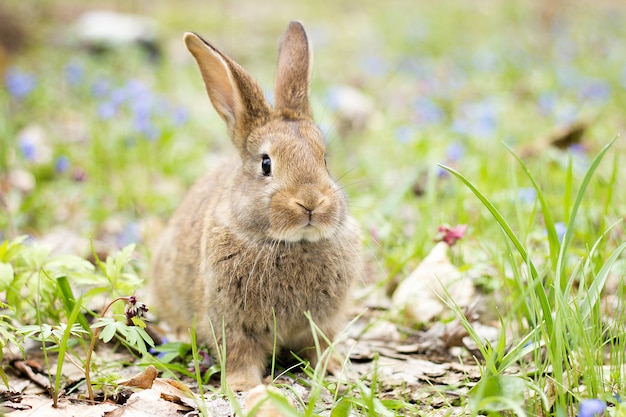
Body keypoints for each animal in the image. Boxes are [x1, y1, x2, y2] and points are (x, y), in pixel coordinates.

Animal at [150, 21, 360, 392]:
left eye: (324, 159)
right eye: (266, 164)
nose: (311, 202)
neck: (291, 244)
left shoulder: (324, 323)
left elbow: (321, 345)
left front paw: (333, 369)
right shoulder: (232, 324)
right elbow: (240, 353)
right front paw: (244, 386)